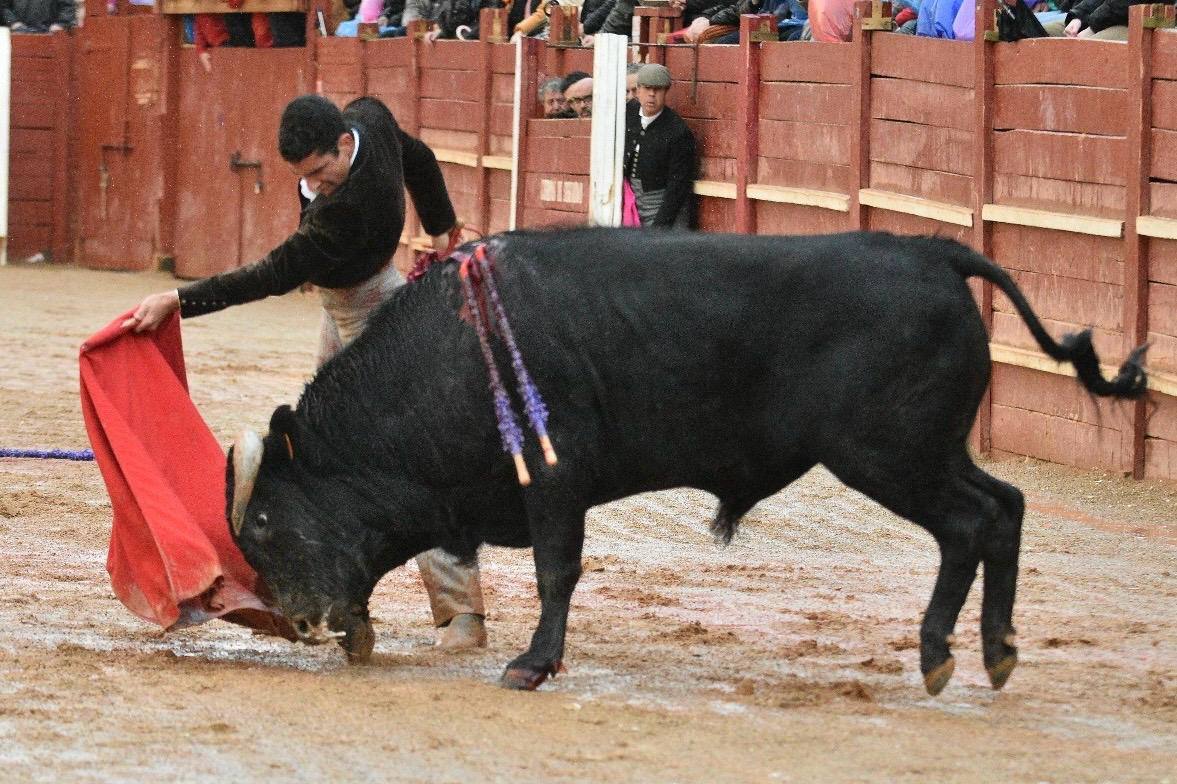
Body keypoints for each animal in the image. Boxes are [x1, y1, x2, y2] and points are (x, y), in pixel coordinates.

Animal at [224, 226, 1144, 692]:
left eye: (263, 518)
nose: (297, 621)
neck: (447, 352)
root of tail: (930, 250)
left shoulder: (553, 481)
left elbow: (558, 569)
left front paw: (531, 664)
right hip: (929, 449)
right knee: (1005, 506)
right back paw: (994, 650)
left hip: (888, 454)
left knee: (968, 522)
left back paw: (939, 653)